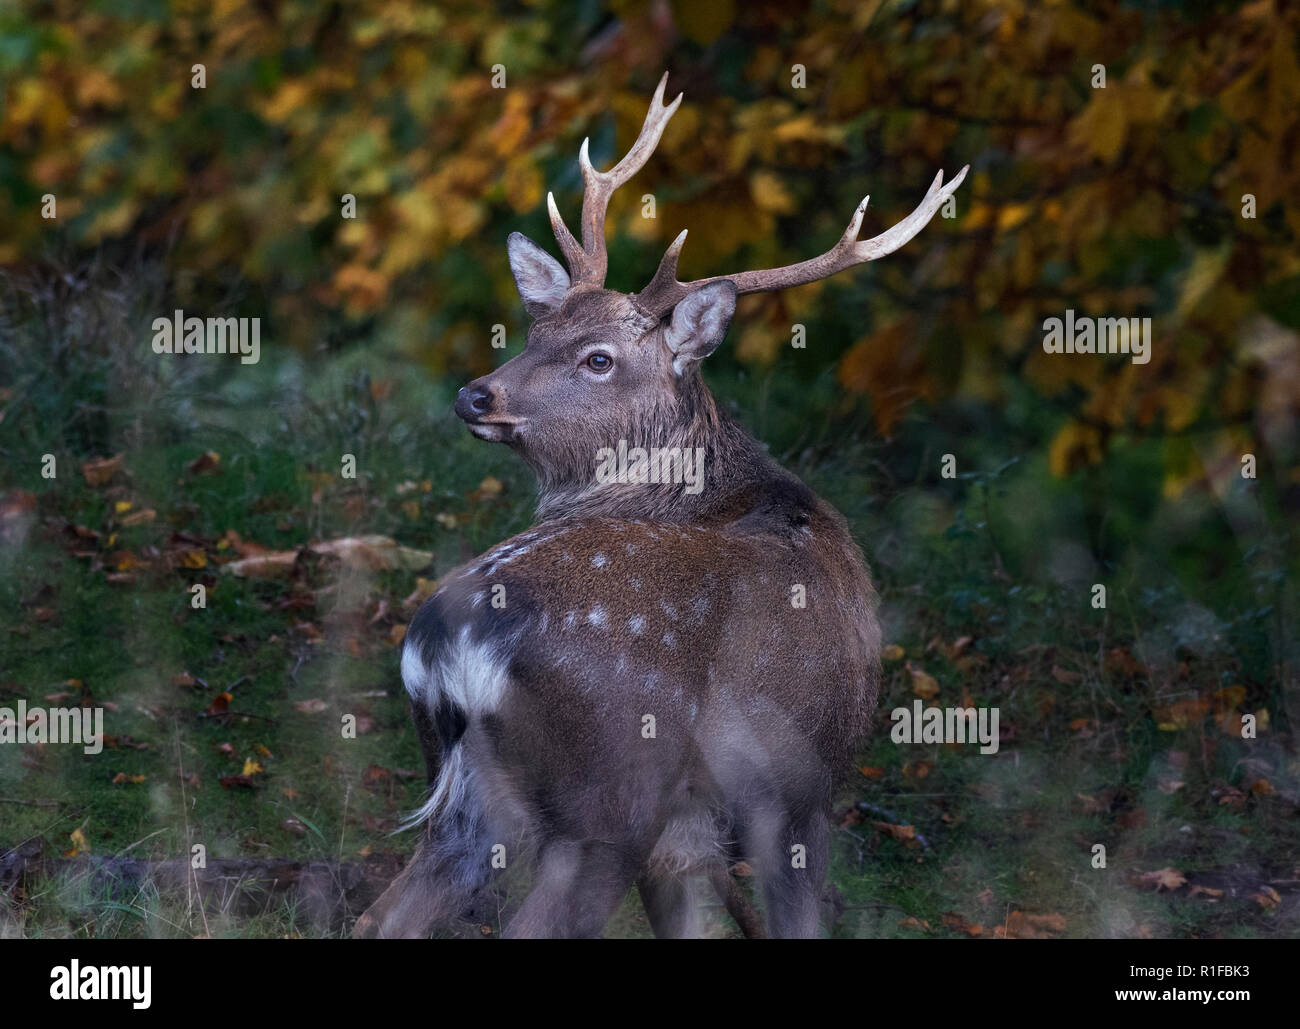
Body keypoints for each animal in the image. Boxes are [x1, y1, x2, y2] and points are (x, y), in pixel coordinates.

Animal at [355, 74, 966, 939]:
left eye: (597, 357)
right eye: (537, 329)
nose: (476, 394)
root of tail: (451, 638)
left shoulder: (693, 833)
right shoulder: (804, 791)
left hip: (469, 793)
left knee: (384, 915)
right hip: (611, 790)